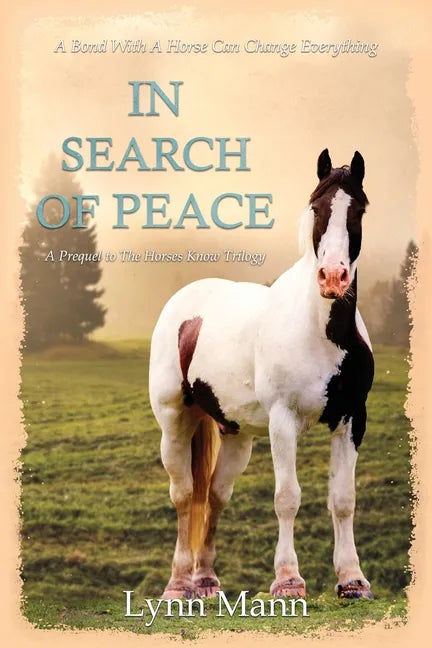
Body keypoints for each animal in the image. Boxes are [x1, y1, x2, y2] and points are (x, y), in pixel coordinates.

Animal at [149, 149, 374, 601]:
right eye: (317, 208)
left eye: (357, 209)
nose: (333, 277)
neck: (322, 331)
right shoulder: (282, 421)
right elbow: (287, 497)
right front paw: (288, 580)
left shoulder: (351, 418)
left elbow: (343, 499)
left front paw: (352, 579)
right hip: (175, 421)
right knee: (184, 495)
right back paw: (178, 584)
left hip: (236, 434)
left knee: (215, 496)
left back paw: (206, 581)